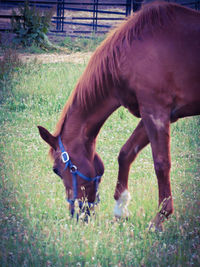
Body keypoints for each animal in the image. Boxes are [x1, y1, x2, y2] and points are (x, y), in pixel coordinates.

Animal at [38, 0, 200, 230]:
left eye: (56, 170)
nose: (76, 214)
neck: (132, 50)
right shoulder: (155, 112)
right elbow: (126, 153)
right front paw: (120, 209)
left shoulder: (156, 111)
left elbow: (161, 164)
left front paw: (159, 219)